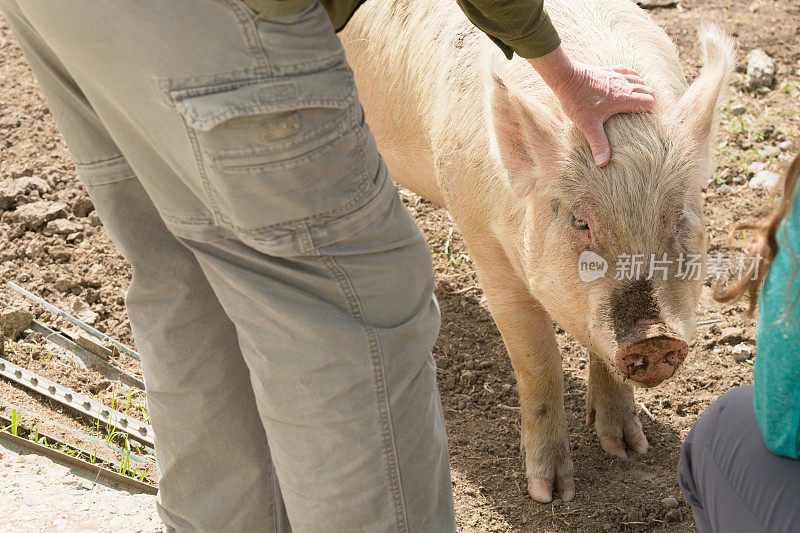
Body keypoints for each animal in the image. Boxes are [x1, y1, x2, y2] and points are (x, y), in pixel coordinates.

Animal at [340, 0, 736, 502]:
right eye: (581, 222)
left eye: (678, 216)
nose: (654, 336)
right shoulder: (485, 245)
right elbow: (539, 360)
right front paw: (551, 492)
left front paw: (628, 449)